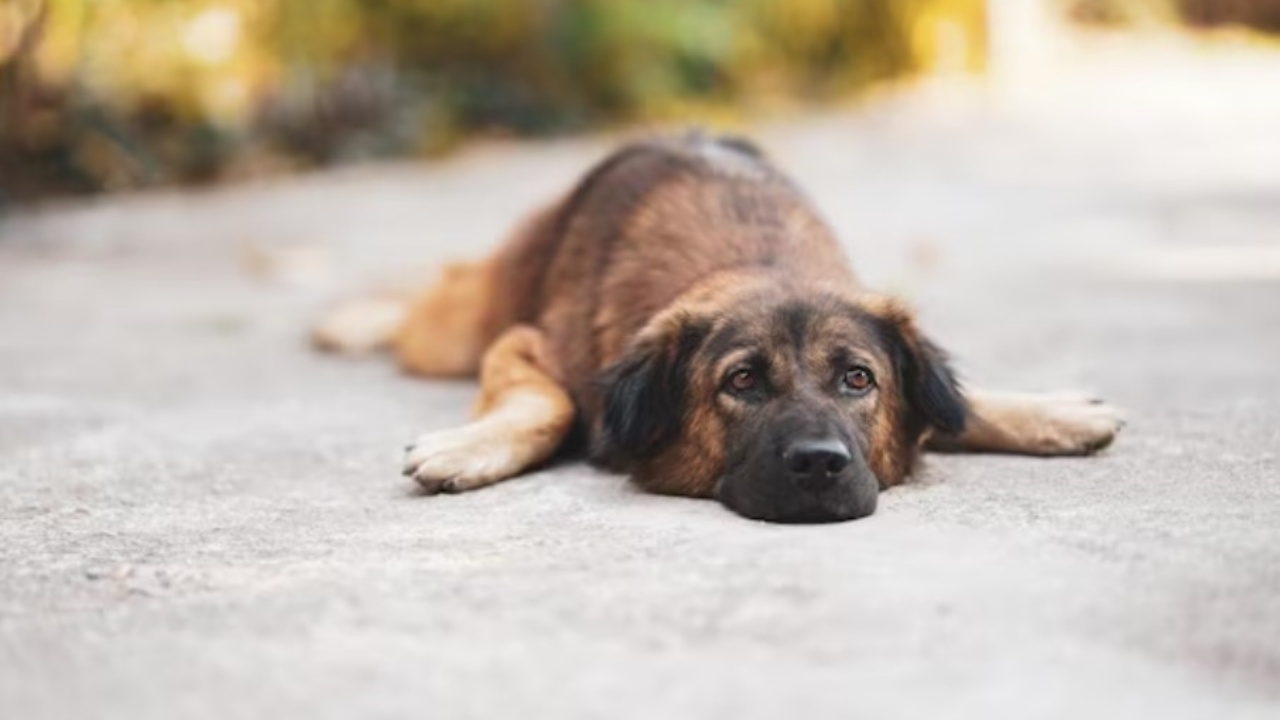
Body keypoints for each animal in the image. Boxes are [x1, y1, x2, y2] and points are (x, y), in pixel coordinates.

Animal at [314, 130, 1126, 520]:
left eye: (857, 378)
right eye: (741, 382)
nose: (820, 465)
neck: (757, 265)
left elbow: (956, 403)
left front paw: (1049, 413)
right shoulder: (525, 343)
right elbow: (551, 404)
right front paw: (471, 447)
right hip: (463, 321)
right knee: (441, 289)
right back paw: (351, 319)